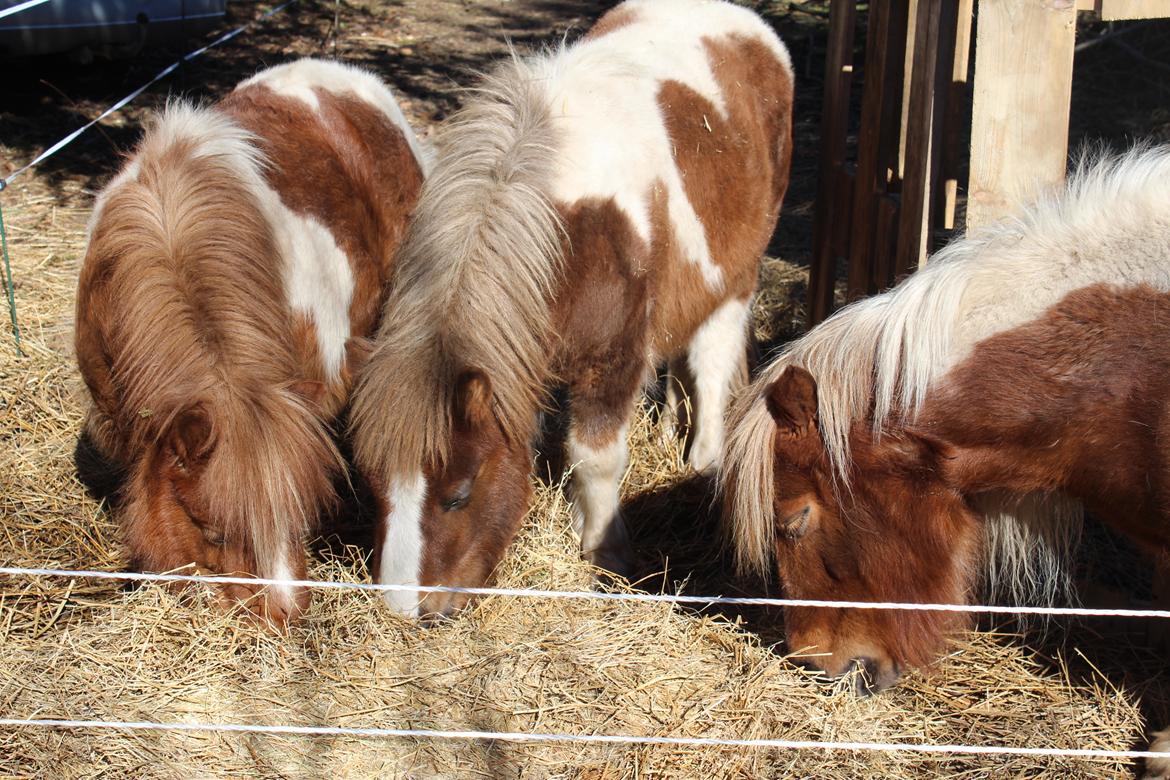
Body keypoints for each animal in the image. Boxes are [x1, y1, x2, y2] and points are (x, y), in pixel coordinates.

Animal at [348, 0, 795, 617]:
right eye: (373, 485)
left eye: (457, 495)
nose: (405, 609)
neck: (570, 228)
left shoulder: (612, 363)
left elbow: (595, 457)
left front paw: (605, 552)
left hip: (735, 281)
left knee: (711, 364)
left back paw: (703, 459)